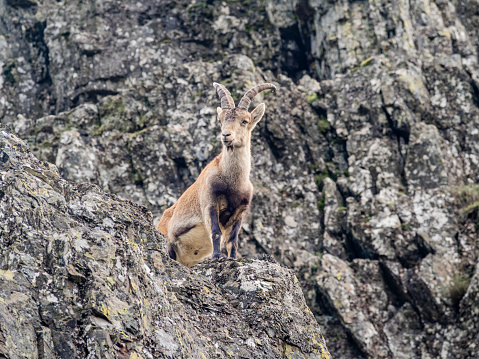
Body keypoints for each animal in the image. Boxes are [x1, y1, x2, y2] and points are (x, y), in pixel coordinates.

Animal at [158, 82, 278, 268]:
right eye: (220, 120)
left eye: (245, 121)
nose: (226, 135)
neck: (233, 181)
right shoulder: (210, 204)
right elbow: (215, 232)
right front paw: (216, 257)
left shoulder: (239, 213)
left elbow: (232, 240)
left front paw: (233, 259)